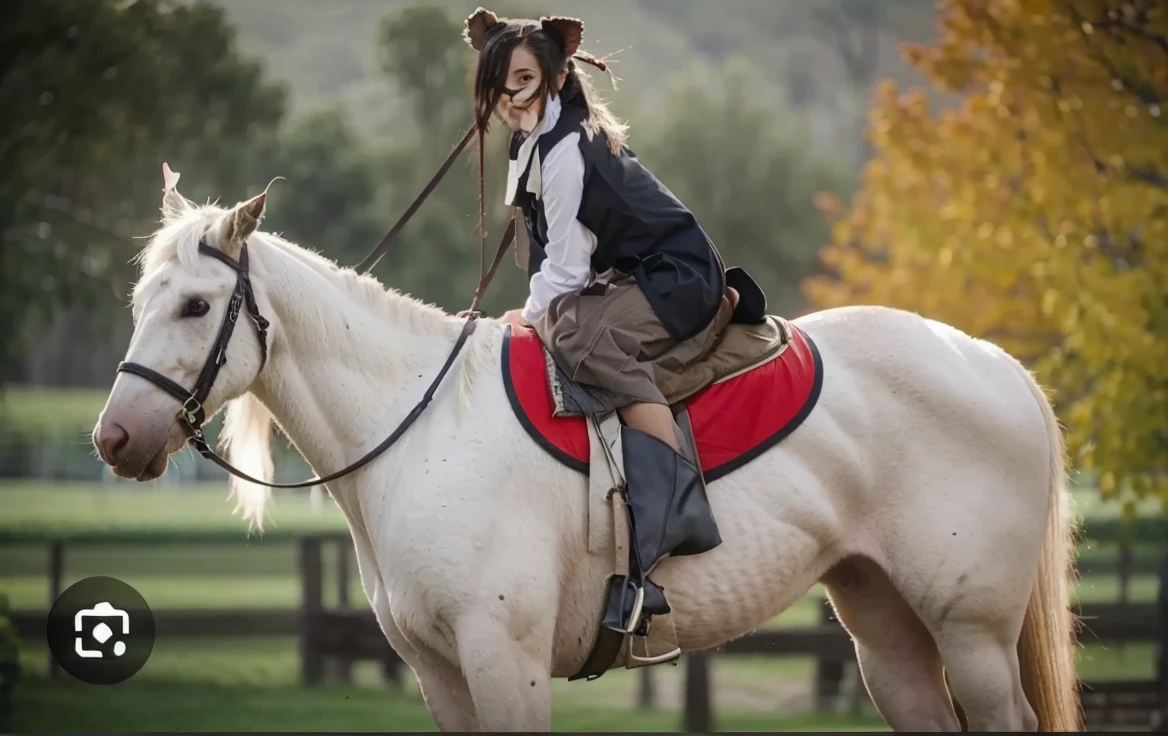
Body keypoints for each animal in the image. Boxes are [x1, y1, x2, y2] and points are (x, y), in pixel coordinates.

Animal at [95, 184, 1079, 733]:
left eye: (195, 304)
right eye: (142, 299)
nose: (113, 439)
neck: (423, 431)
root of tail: (997, 366)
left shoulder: (506, 661)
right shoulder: (441, 674)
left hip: (972, 632)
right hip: (886, 627)